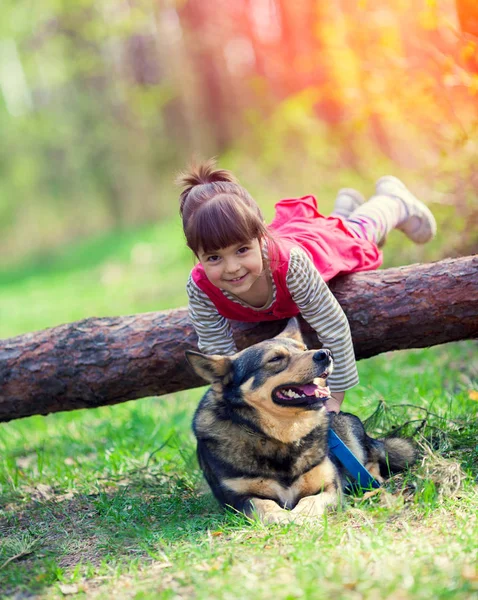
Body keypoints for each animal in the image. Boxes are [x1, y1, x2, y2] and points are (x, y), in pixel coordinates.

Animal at [186, 316, 414, 524]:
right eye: (275, 359)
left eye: (305, 348)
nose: (326, 354)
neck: (282, 437)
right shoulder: (237, 499)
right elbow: (263, 504)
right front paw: (280, 516)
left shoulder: (330, 486)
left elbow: (310, 501)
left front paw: (300, 516)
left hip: (350, 433)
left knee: (372, 459)